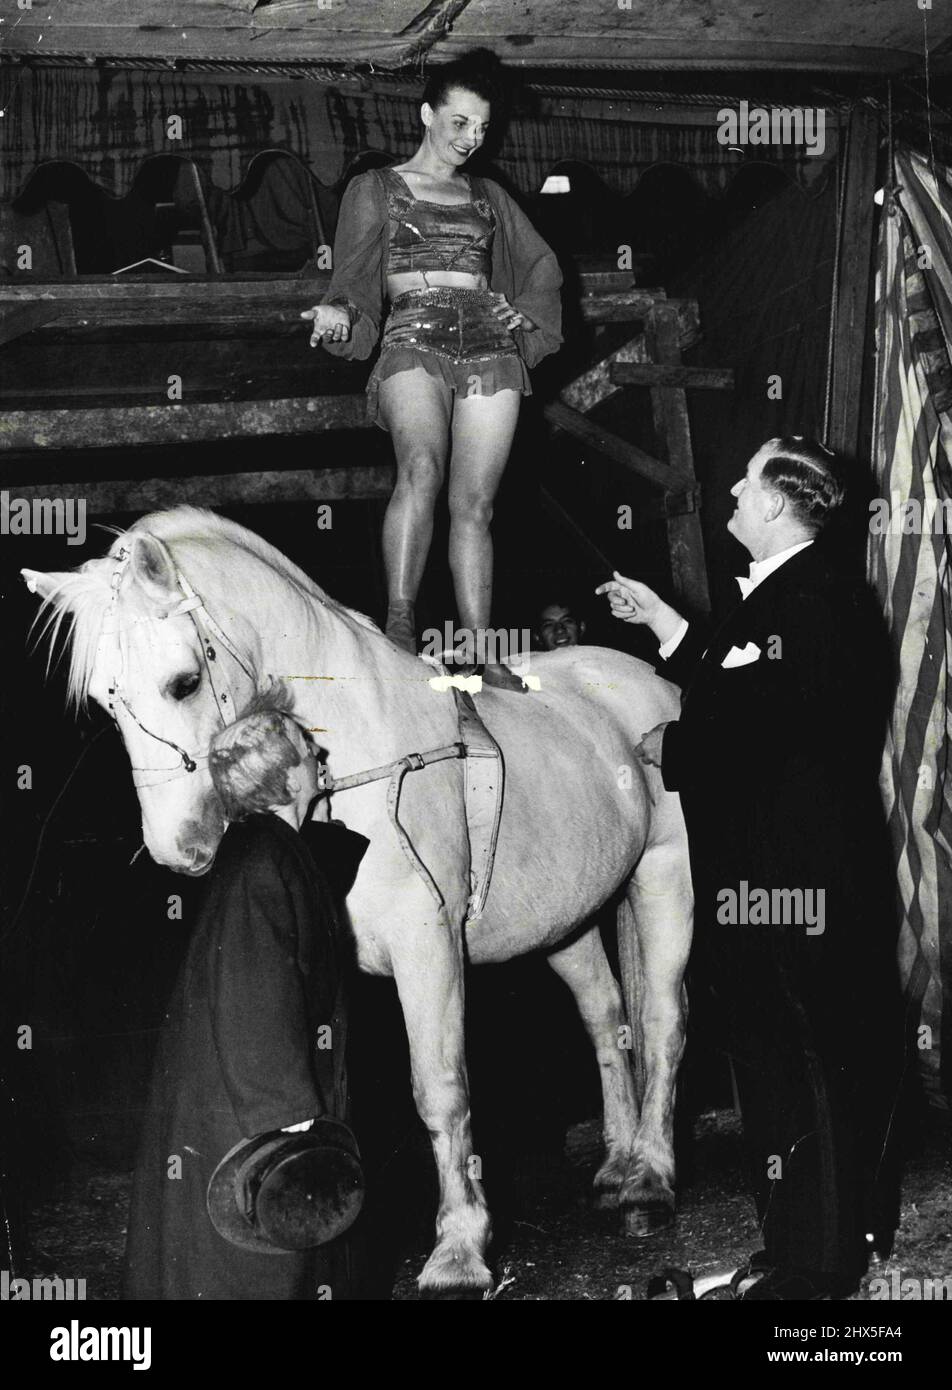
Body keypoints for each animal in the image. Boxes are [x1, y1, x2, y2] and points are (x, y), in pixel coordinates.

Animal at [20, 505, 689, 1295]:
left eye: (183, 683)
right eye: (104, 702)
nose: (179, 850)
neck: (363, 751)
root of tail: (649, 678)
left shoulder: (428, 945)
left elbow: (440, 1089)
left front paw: (459, 1252)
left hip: (663, 876)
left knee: (662, 1022)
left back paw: (650, 1178)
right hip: (565, 922)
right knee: (607, 1021)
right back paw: (617, 1167)